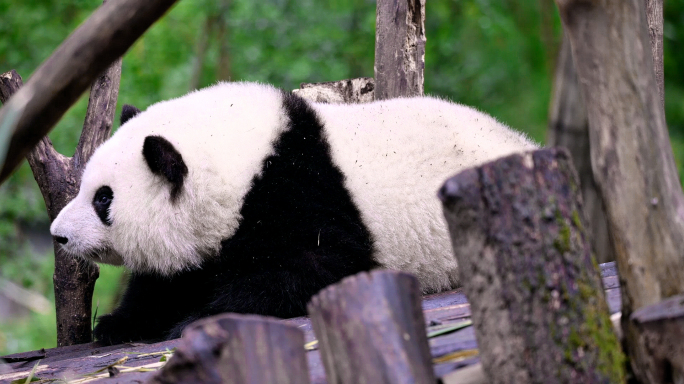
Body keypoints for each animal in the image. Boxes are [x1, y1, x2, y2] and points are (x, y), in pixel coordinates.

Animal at [50, 82, 536, 344]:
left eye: (103, 199)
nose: (59, 235)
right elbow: (176, 278)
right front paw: (118, 324)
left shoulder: (301, 195)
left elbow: (311, 269)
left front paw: (195, 321)